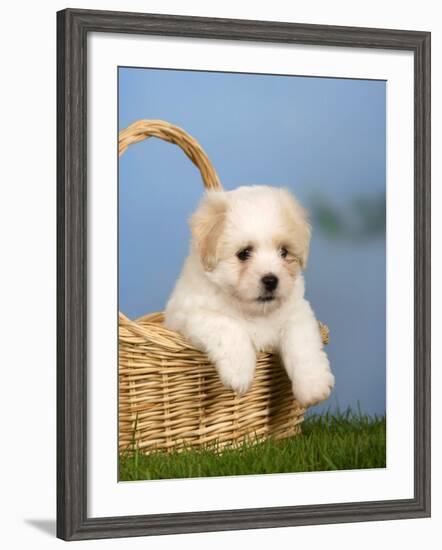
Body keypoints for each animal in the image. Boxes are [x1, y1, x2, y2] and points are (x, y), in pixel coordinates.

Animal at [164, 187, 334, 410]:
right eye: (244, 253)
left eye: (284, 252)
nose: (271, 280)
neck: (254, 311)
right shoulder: (192, 313)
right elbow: (228, 327)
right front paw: (239, 374)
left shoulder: (297, 312)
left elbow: (303, 345)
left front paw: (313, 386)